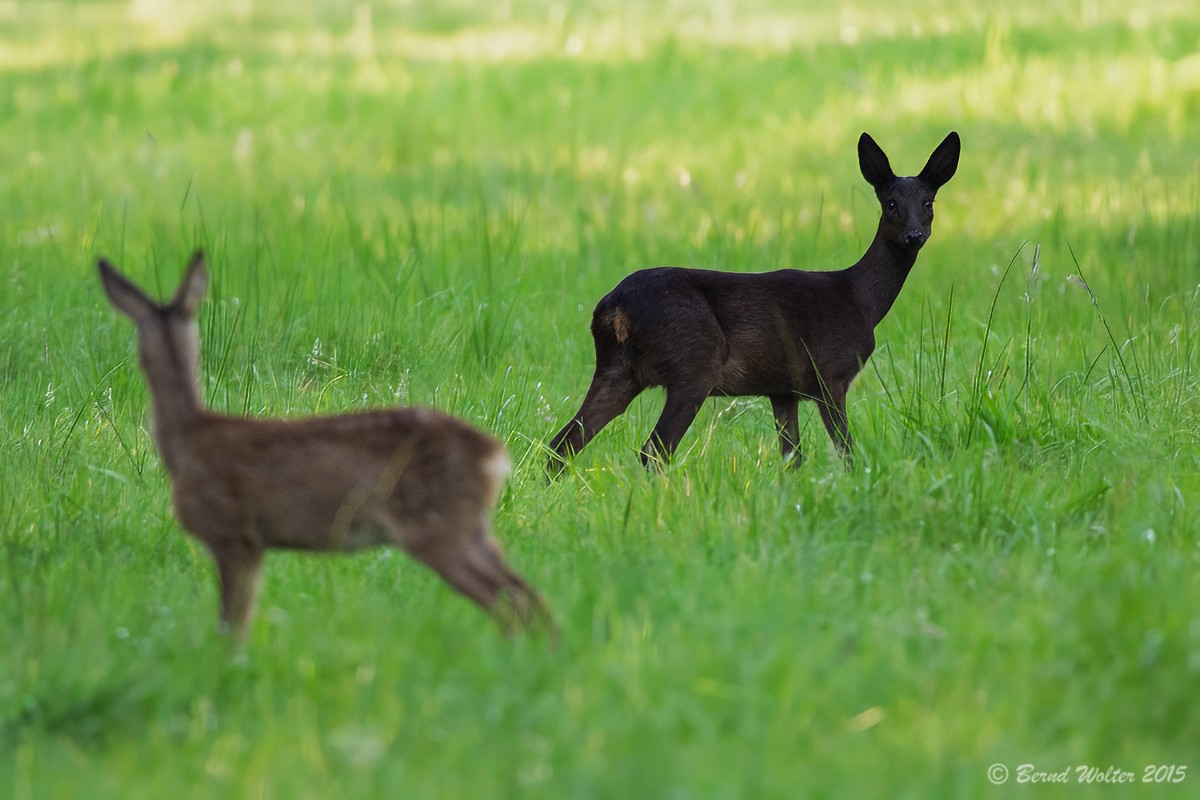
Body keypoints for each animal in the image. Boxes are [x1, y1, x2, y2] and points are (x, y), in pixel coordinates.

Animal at [99, 252, 554, 641]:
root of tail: (495, 455)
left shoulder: (234, 532)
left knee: (510, 600)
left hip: (437, 526)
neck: (187, 439)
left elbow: (233, 623)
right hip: (473, 526)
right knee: (527, 594)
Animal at [547, 131, 960, 474]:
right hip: (693, 362)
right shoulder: (830, 373)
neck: (861, 301)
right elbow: (846, 451)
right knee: (653, 450)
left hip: (619, 369)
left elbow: (792, 457)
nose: (914, 235)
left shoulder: (782, 389)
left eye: (928, 202)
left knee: (563, 443)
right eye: (890, 202)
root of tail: (612, 308)